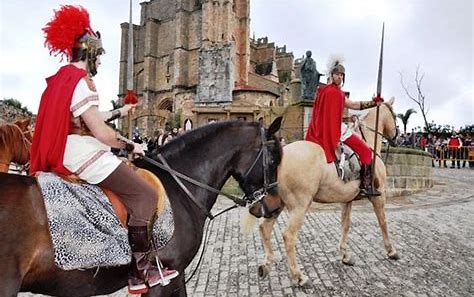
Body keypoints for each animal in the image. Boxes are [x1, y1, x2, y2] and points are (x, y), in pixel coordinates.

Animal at [256, 98, 400, 286]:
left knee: (264, 228)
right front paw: (391, 250)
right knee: (288, 236)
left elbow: (345, 224)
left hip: (277, 203)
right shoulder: (379, 196)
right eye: (395, 115)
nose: (397, 137)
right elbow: (383, 221)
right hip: (300, 206)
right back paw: (298, 276)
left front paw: (345, 255)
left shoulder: (347, 199)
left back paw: (266, 265)